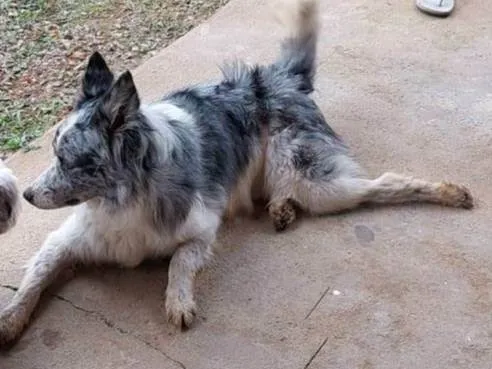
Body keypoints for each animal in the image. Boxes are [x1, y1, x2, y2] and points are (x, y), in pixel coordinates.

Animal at [0, 0, 472, 344]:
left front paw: (178, 300)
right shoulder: (66, 241)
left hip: (316, 181)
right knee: (288, 190)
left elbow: (178, 262)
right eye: (53, 152)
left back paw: (448, 192)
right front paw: (10, 320)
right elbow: (34, 279)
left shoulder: (202, 229)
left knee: (384, 184)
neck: (126, 196)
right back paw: (281, 209)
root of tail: (280, 78)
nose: (26, 196)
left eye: (68, 159)